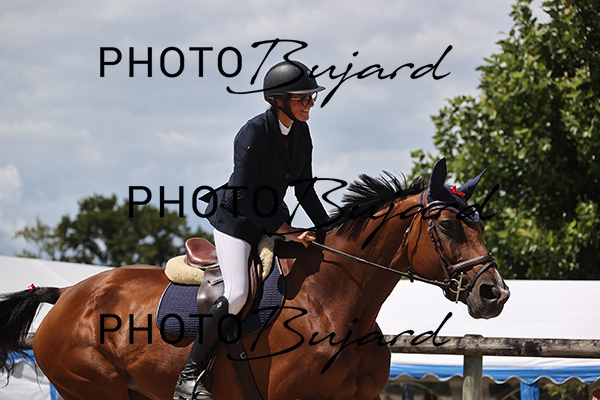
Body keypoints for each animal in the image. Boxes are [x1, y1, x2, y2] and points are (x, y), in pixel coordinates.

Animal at [0, 162, 509, 400]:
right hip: (93, 387)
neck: (340, 305)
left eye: (479, 225)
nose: (495, 294)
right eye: (448, 226)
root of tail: (68, 294)